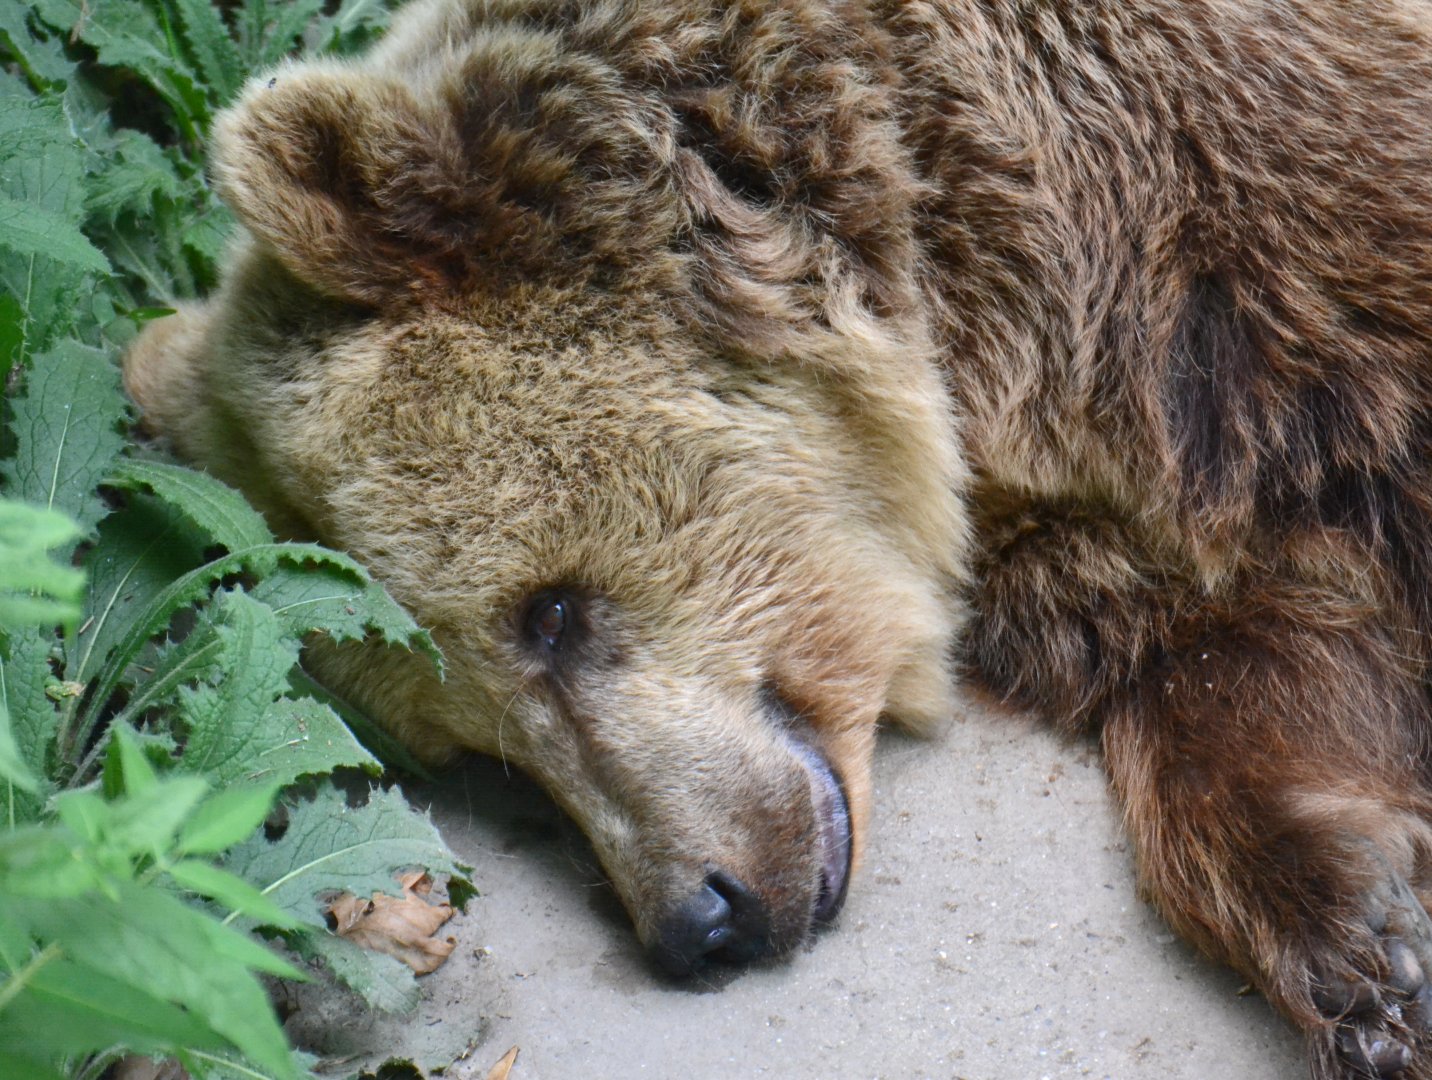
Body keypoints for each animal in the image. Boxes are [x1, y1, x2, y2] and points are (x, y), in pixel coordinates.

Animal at [122, 0, 1432, 1076]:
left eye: (548, 613)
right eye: (484, 760)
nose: (701, 919)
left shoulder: (1259, 216)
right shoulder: (1105, 527)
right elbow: (1239, 658)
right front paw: (1366, 945)